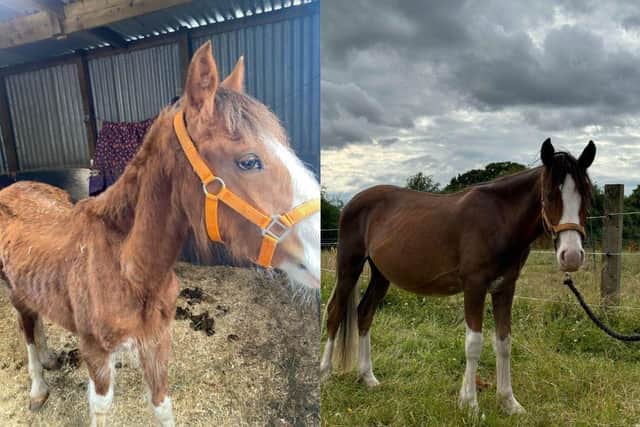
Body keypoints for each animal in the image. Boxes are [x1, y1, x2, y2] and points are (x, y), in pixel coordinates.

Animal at [0, 41, 320, 426]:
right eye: (248, 161)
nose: (320, 250)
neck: (126, 266)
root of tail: (14, 185)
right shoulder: (95, 353)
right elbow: (101, 408)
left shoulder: (157, 341)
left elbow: (162, 404)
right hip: (14, 291)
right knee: (27, 330)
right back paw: (38, 387)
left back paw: (49, 359)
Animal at [321, 139, 595, 415]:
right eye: (549, 195)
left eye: (587, 196)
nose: (571, 256)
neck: (499, 219)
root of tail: (353, 202)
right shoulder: (474, 286)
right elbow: (474, 343)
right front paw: (470, 403)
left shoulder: (505, 288)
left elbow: (504, 343)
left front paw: (509, 403)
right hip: (349, 266)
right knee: (334, 312)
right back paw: (325, 373)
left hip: (380, 275)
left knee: (365, 313)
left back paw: (367, 377)